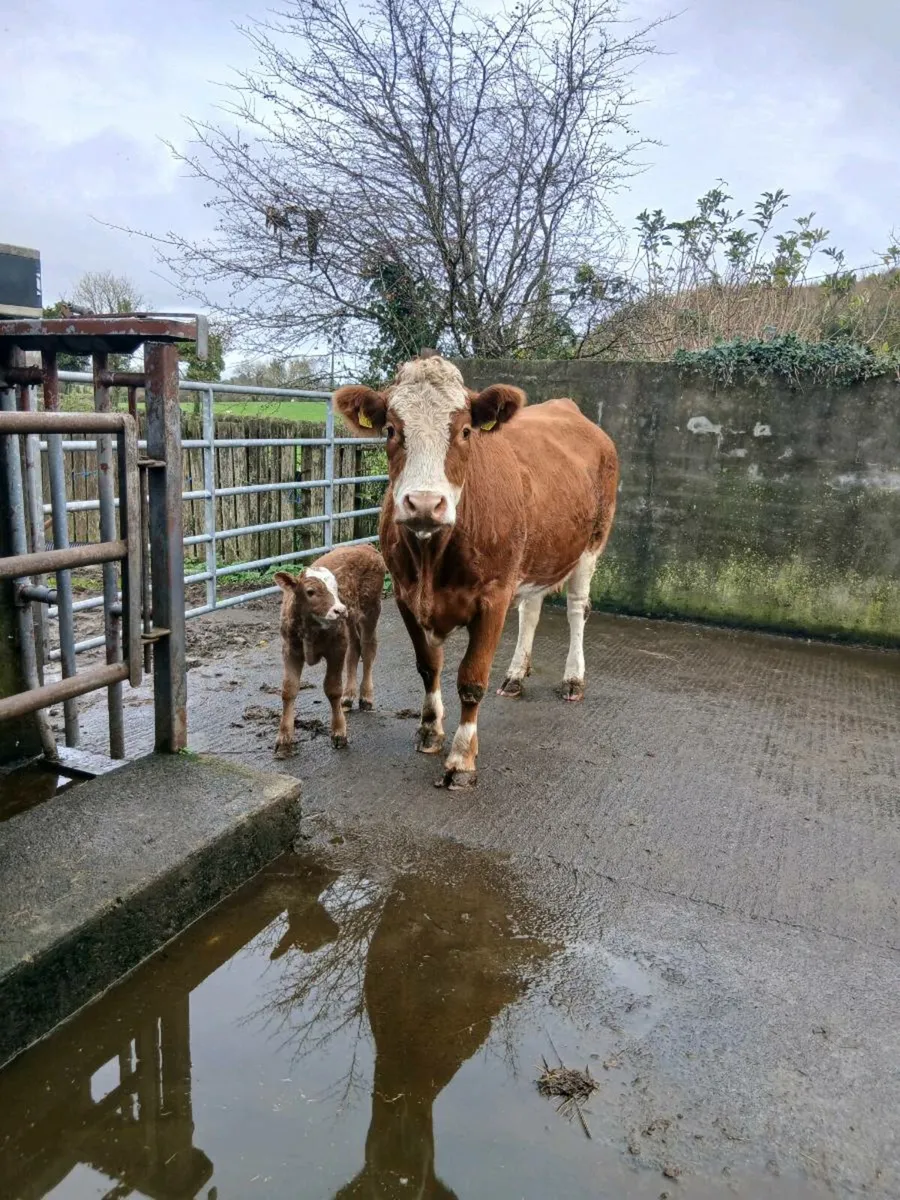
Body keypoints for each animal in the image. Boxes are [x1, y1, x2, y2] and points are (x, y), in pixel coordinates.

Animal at [273, 543, 386, 755]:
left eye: (336, 589)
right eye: (310, 591)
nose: (340, 610)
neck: (309, 628)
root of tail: (365, 546)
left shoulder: (336, 649)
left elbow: (333, 689)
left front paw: (339, 733)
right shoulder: (290, 650)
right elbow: (289, 689)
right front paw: (284, 738)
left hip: (371, 608)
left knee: (368, 649)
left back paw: (366, 696)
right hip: (350, 621)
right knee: (355, 648)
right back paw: (348, 697)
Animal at [334, 353, 618, 789]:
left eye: (465, 430)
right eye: (391, 429)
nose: (424, 503)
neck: (432, 559)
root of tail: (570, 409)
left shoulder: (493, 597)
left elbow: (471, 680)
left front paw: (462, 758)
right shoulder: (404, 595)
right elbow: (428, 667)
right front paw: (429, 730)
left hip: (592, 544)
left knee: (576, 609)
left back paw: (573, 678)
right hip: (537, 553)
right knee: (531, 609)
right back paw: (516, 674)